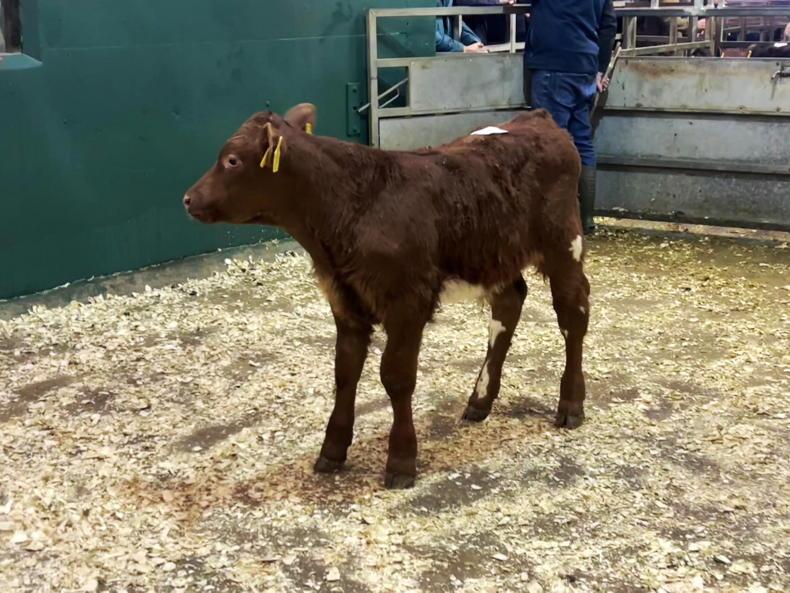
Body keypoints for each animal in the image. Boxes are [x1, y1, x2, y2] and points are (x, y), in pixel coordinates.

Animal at [183, 104, 590, 489]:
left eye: (232, 160)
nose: (188, 199)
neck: (349, 209)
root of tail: (537, 119)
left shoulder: (407, 303)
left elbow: (396, 377)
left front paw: (401, 461)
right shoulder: (345, 303)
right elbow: (345, 372)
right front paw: (332, 451)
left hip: (563, 242)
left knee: (573, 313)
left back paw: (571, 404)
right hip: (494, 255)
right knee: (509, 305)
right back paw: (480, 400)